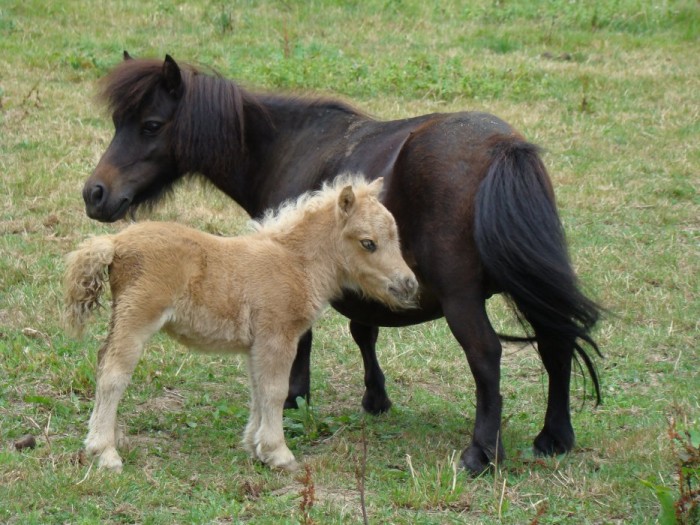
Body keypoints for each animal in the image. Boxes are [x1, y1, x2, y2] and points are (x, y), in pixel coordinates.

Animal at [64, 177, 416, 470]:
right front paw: (279, 454)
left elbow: (258, 389)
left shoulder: (257, 344)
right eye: (368, 243)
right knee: (113, 374)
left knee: (102, 362)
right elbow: (275, 391)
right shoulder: (278, 336)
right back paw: (105, 452)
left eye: (396, 237)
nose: (409, 284)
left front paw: (255, 448)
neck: (296, 263)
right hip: (137, 316)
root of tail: (115, 243)